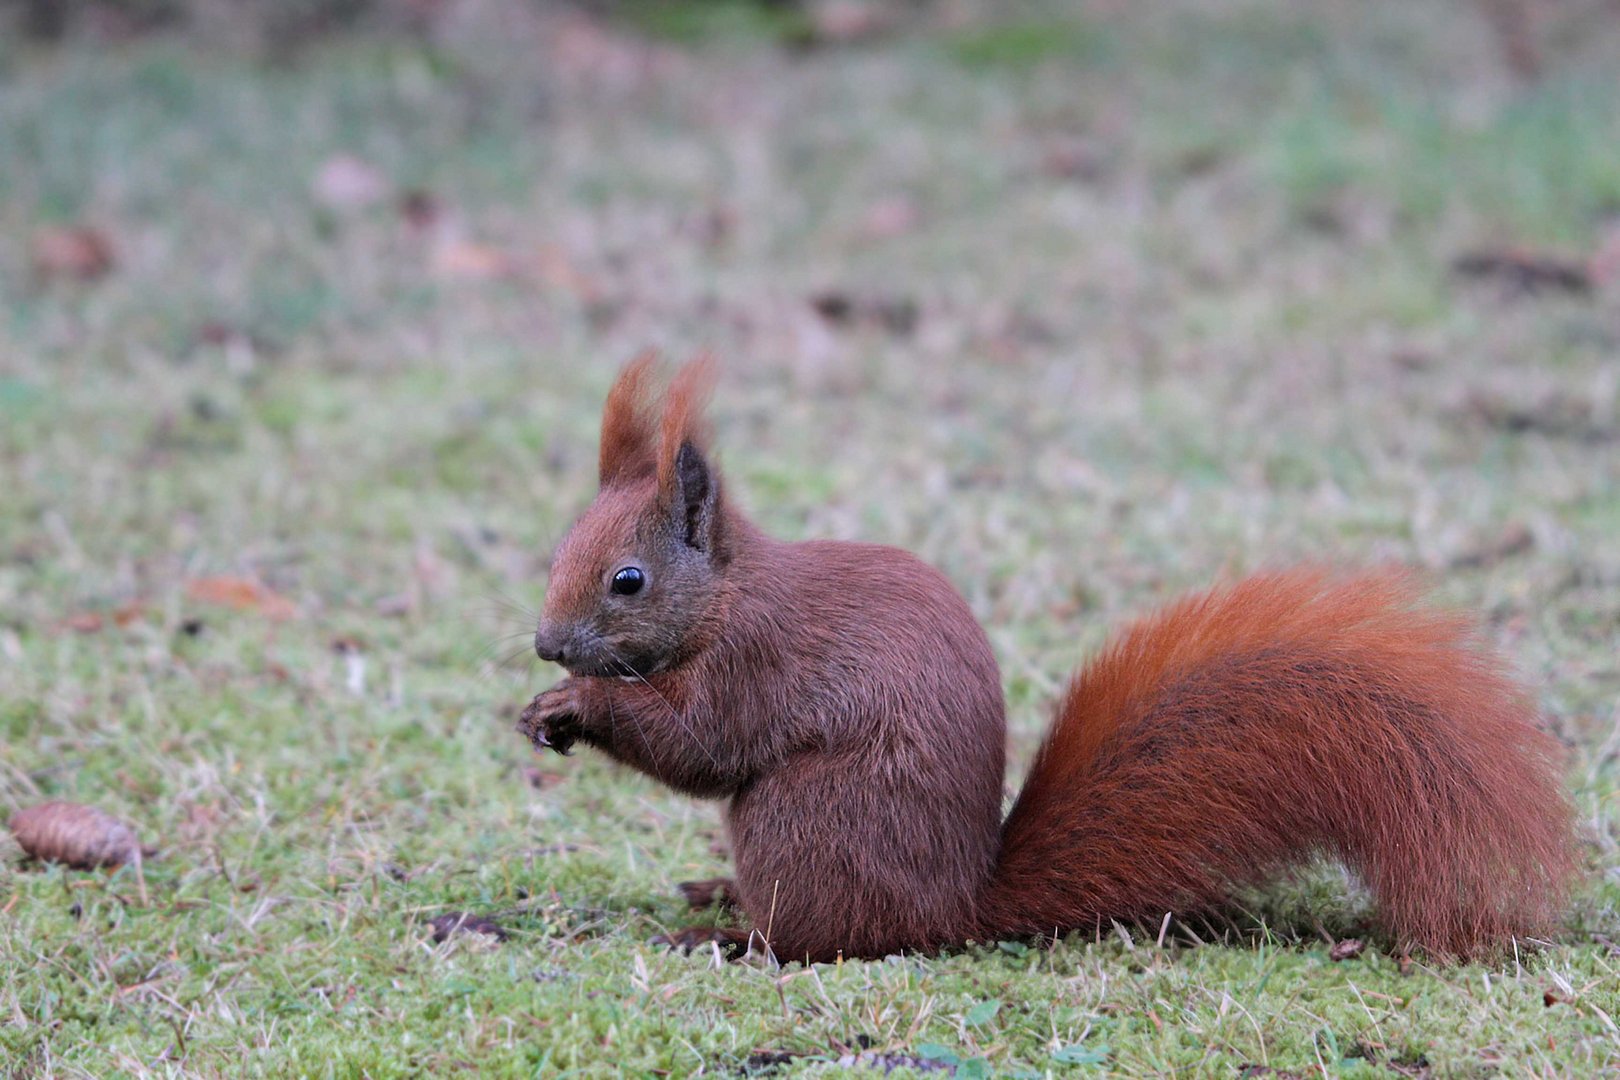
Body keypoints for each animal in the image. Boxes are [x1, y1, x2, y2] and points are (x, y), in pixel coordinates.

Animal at [515, 359, 1568, 965]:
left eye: (628, 580)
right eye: (559, 547)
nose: (547, 643)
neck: (728, 594)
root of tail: (954, 909)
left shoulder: (758, 659)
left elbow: (703, 744)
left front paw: (573, 704)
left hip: (800, 824)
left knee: (817, 941)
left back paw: (725, 935)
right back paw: (716, 895)